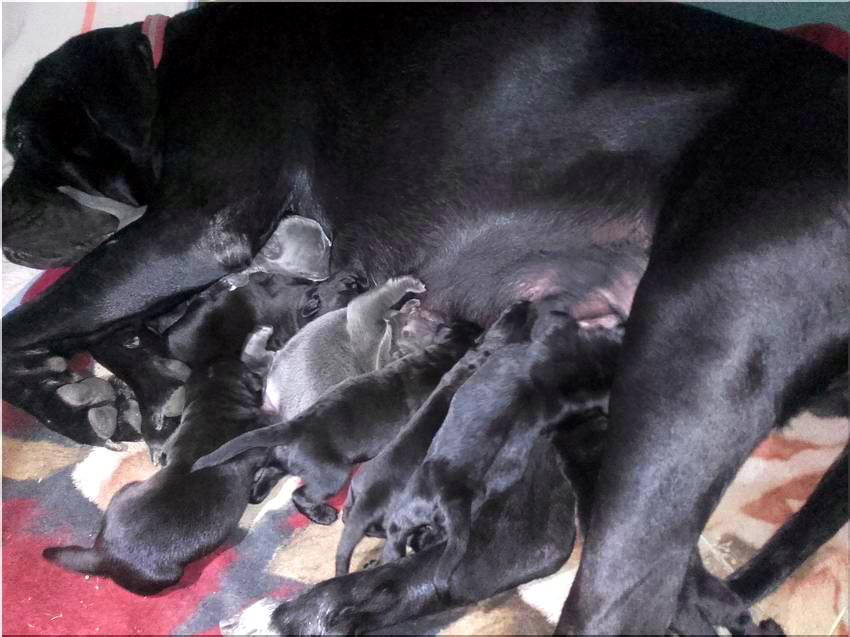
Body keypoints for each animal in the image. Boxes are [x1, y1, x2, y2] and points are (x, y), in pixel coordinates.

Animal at [193, 320, 480, 524]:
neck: (439, 355)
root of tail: (293, 426)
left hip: (285, 456)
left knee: (271, 468)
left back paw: (258, 491)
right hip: (333, 474)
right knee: (300, 495)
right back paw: (325, 515)